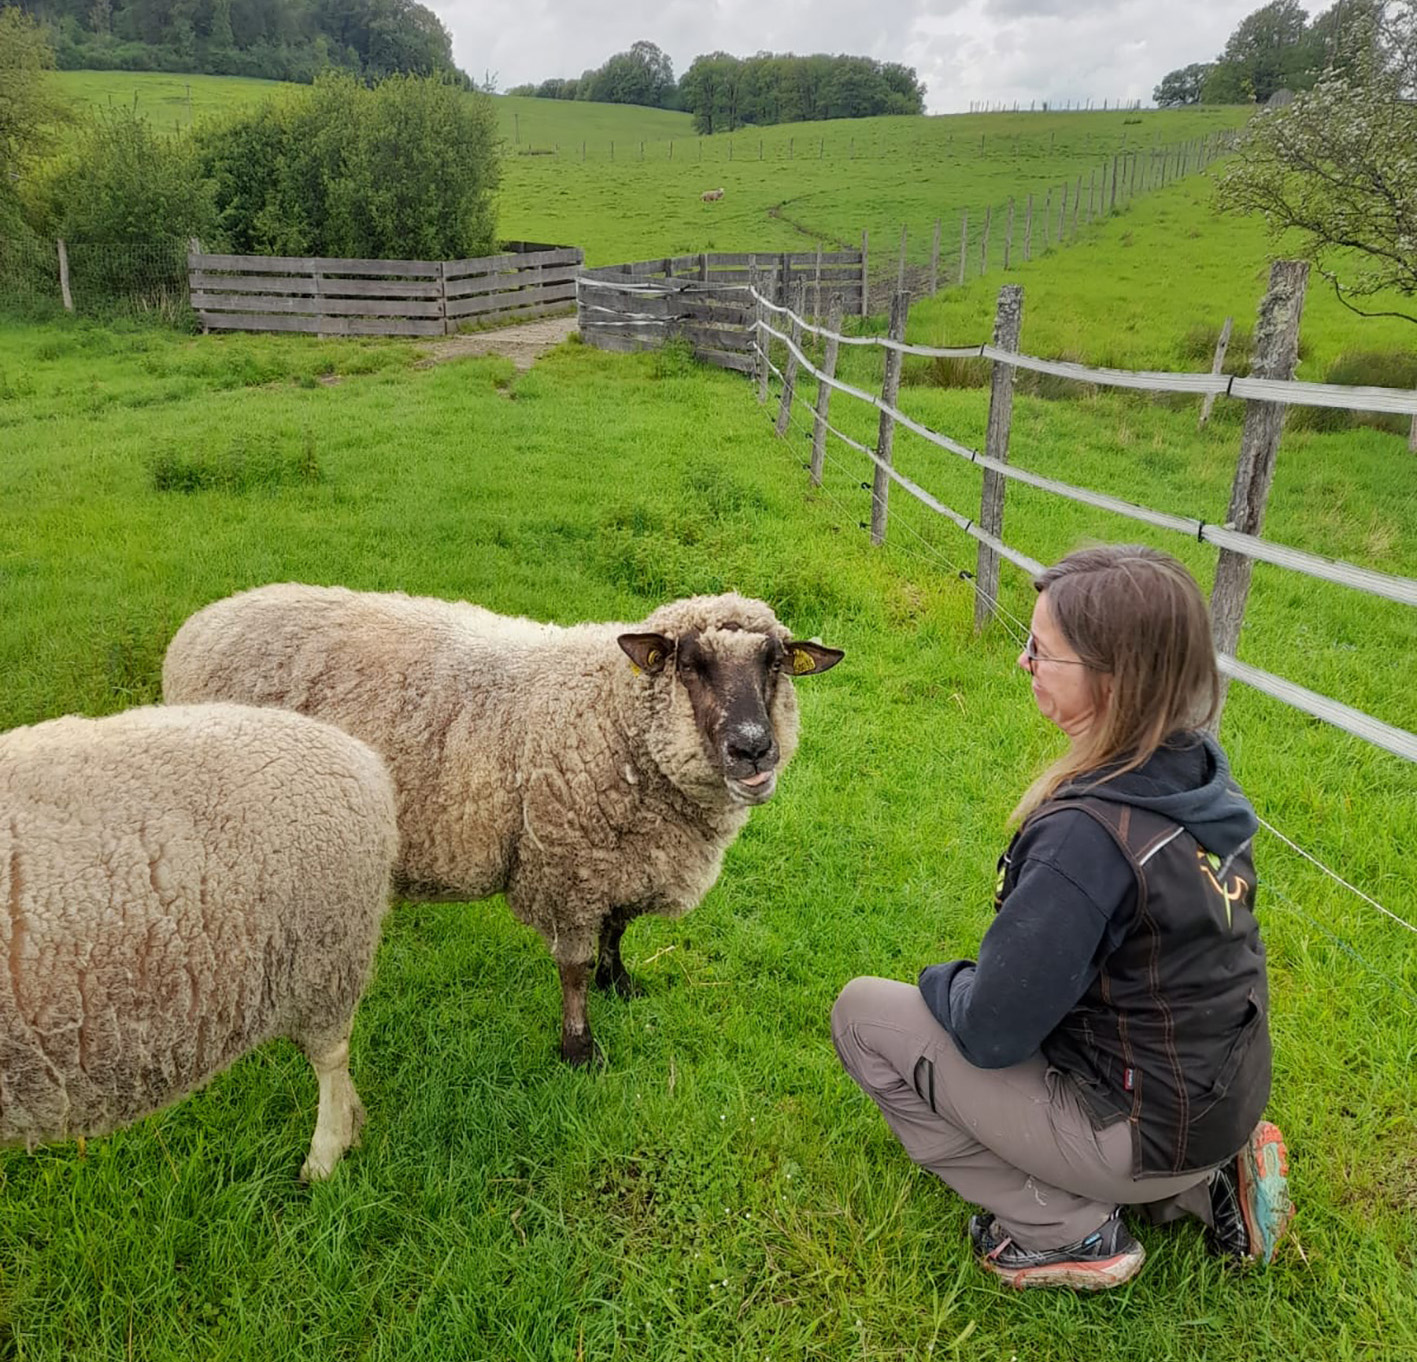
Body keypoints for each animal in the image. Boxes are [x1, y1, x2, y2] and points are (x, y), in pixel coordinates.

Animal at [162, 583, 838, 1065]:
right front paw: (579, 1049)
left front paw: (621, 982)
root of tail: (199, 626)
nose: (754, 749)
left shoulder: (622, 859)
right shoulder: (567, 866)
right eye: (690, 664)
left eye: (776, 663)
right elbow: (573, 968)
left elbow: (618, 928)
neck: (614, 716)